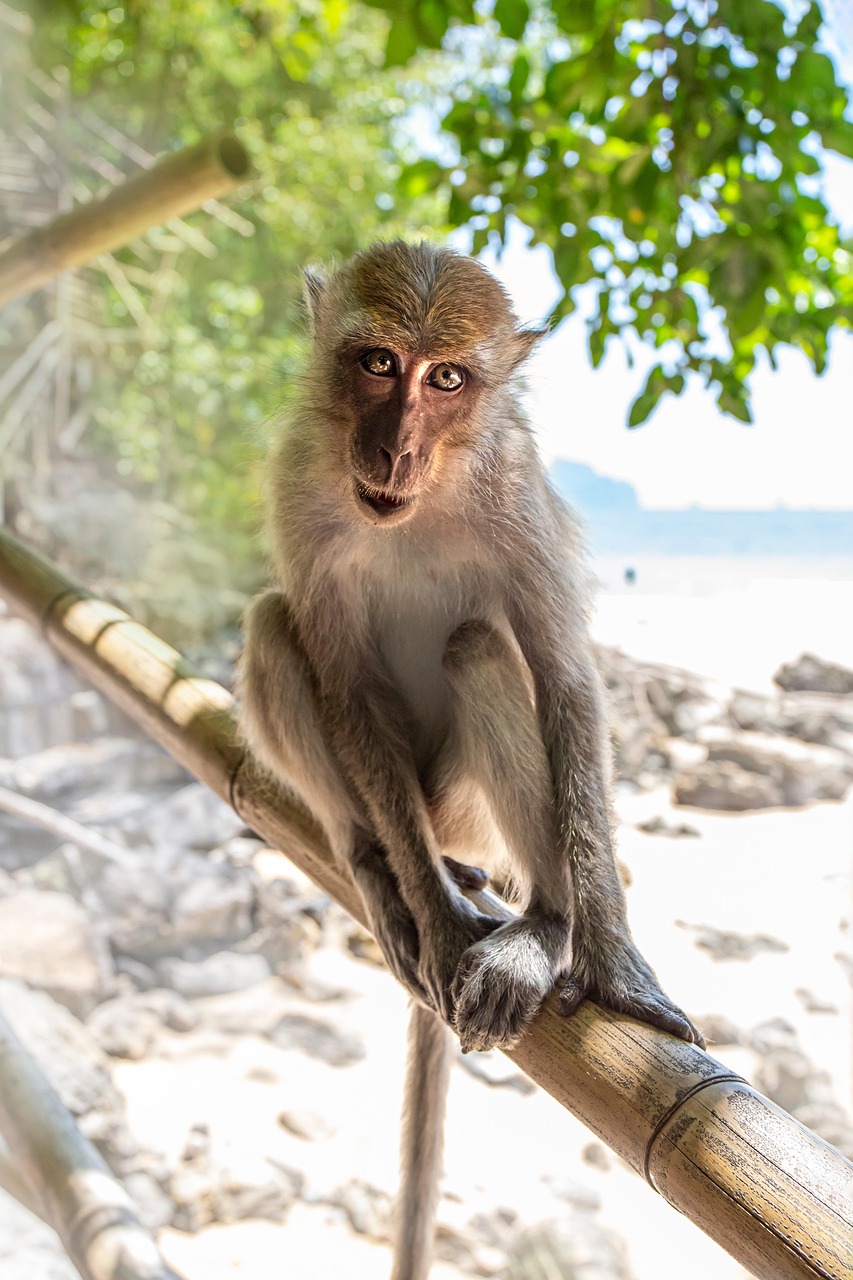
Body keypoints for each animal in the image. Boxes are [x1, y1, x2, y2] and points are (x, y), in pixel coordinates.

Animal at [235, 241, 701, 1280]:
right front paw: (440, 926)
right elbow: (344, 680)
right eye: (378, 364)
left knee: (480, 647)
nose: (394, 450)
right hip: (414, 808)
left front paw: (609, 958)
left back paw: (546, 925)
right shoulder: (293, 479)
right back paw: (376, 862)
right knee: (277, 625)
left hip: (462, 811)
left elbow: (565, 678)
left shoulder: (517, 491)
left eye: (446, 380)